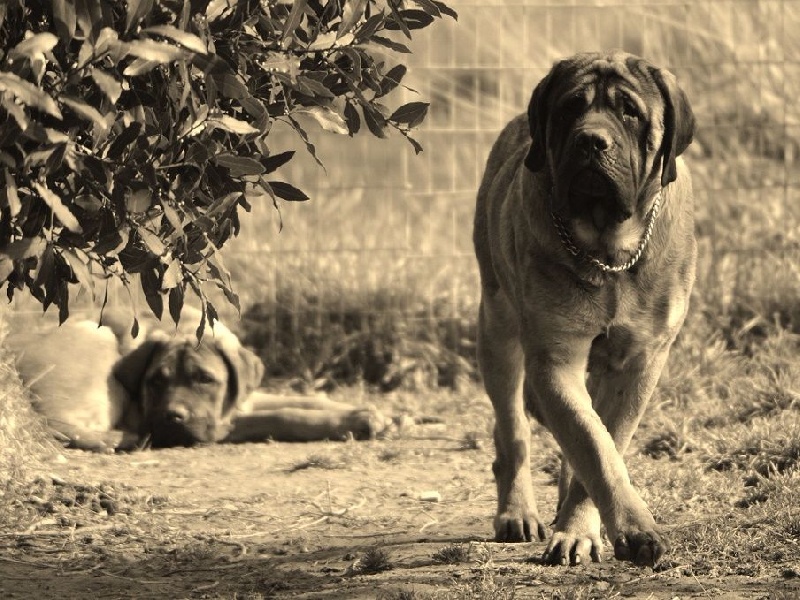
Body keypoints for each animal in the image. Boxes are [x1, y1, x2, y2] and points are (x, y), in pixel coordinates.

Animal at [8, 310, 390, 450]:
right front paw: (358, 421)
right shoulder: (221, 425)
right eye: (155, 382)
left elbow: (307, 399)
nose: (172, 418)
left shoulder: (242, 400)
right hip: (96, 338)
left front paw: (374, 414)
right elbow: (285, 415)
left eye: (205, 379)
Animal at [476, 52, 692, 568]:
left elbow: (601, 444)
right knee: (513, 430)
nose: (591, 139)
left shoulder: (640, 363)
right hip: (497, 329)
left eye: (630, 112)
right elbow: (594, 447)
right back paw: (517, 511)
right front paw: (630, 529)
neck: (608, 251)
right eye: (571, 108)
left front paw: (581, 528)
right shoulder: (555, 359)